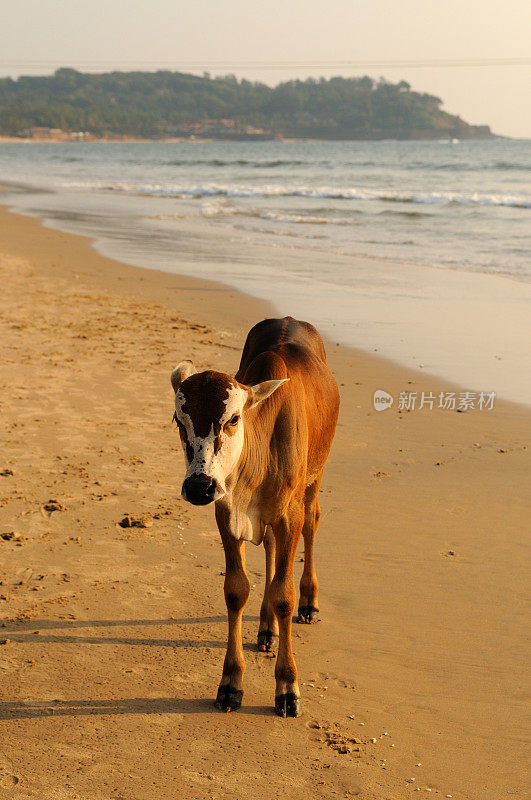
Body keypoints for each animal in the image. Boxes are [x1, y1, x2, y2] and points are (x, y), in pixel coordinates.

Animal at [171, 316, 340, 716]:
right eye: (178, 420)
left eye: (234, 418)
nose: (199, 485)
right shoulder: (225, 510)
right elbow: (237, 590)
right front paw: (231, 682)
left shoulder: (289, 514)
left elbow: (283, 594)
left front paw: (287, 686)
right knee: (271, 551)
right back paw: (266, 629)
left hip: (314, 478)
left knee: (312, 524)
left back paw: (309, 602)